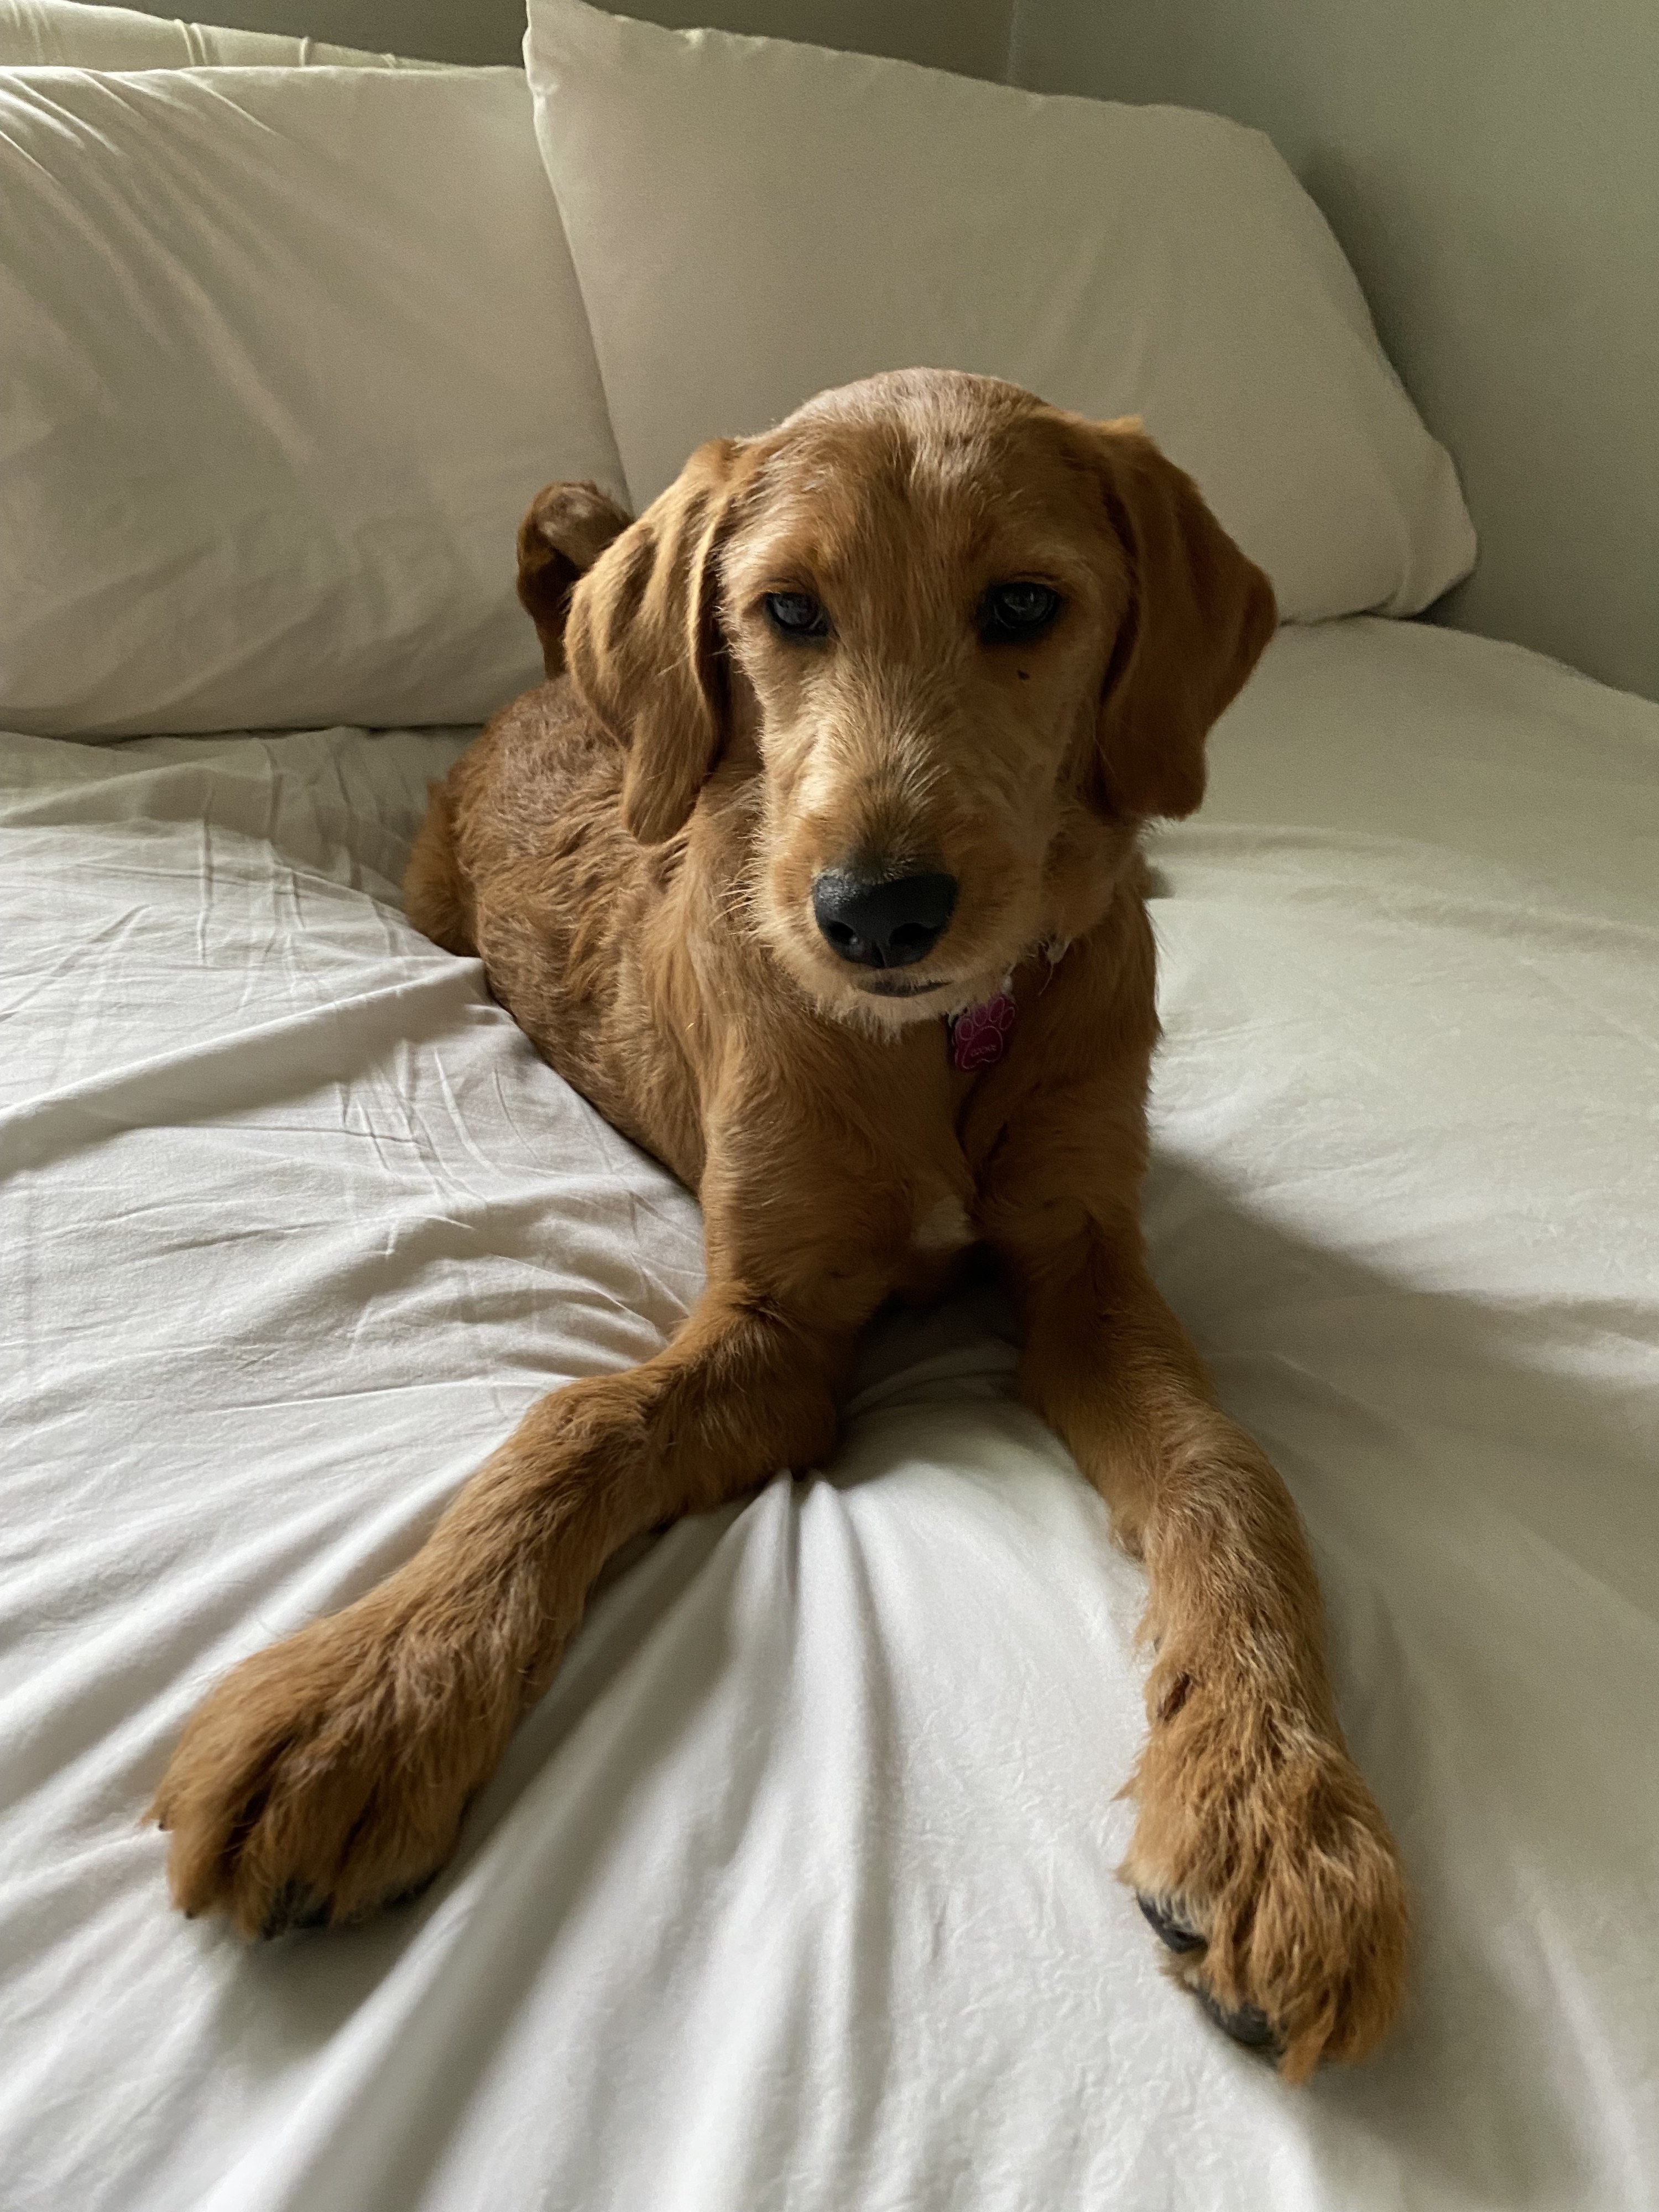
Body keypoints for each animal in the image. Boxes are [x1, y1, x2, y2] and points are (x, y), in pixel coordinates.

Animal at [153, 372, 1407, 2079]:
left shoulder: (1087, 1267)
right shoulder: (775, 1325)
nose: (875, 913)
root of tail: (556, 679)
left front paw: (1279, 1810)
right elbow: (575, 1429)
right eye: (787, 610)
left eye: (1026, 604)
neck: (938, 1043)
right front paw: (371, 1696)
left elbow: (1228, 1475)